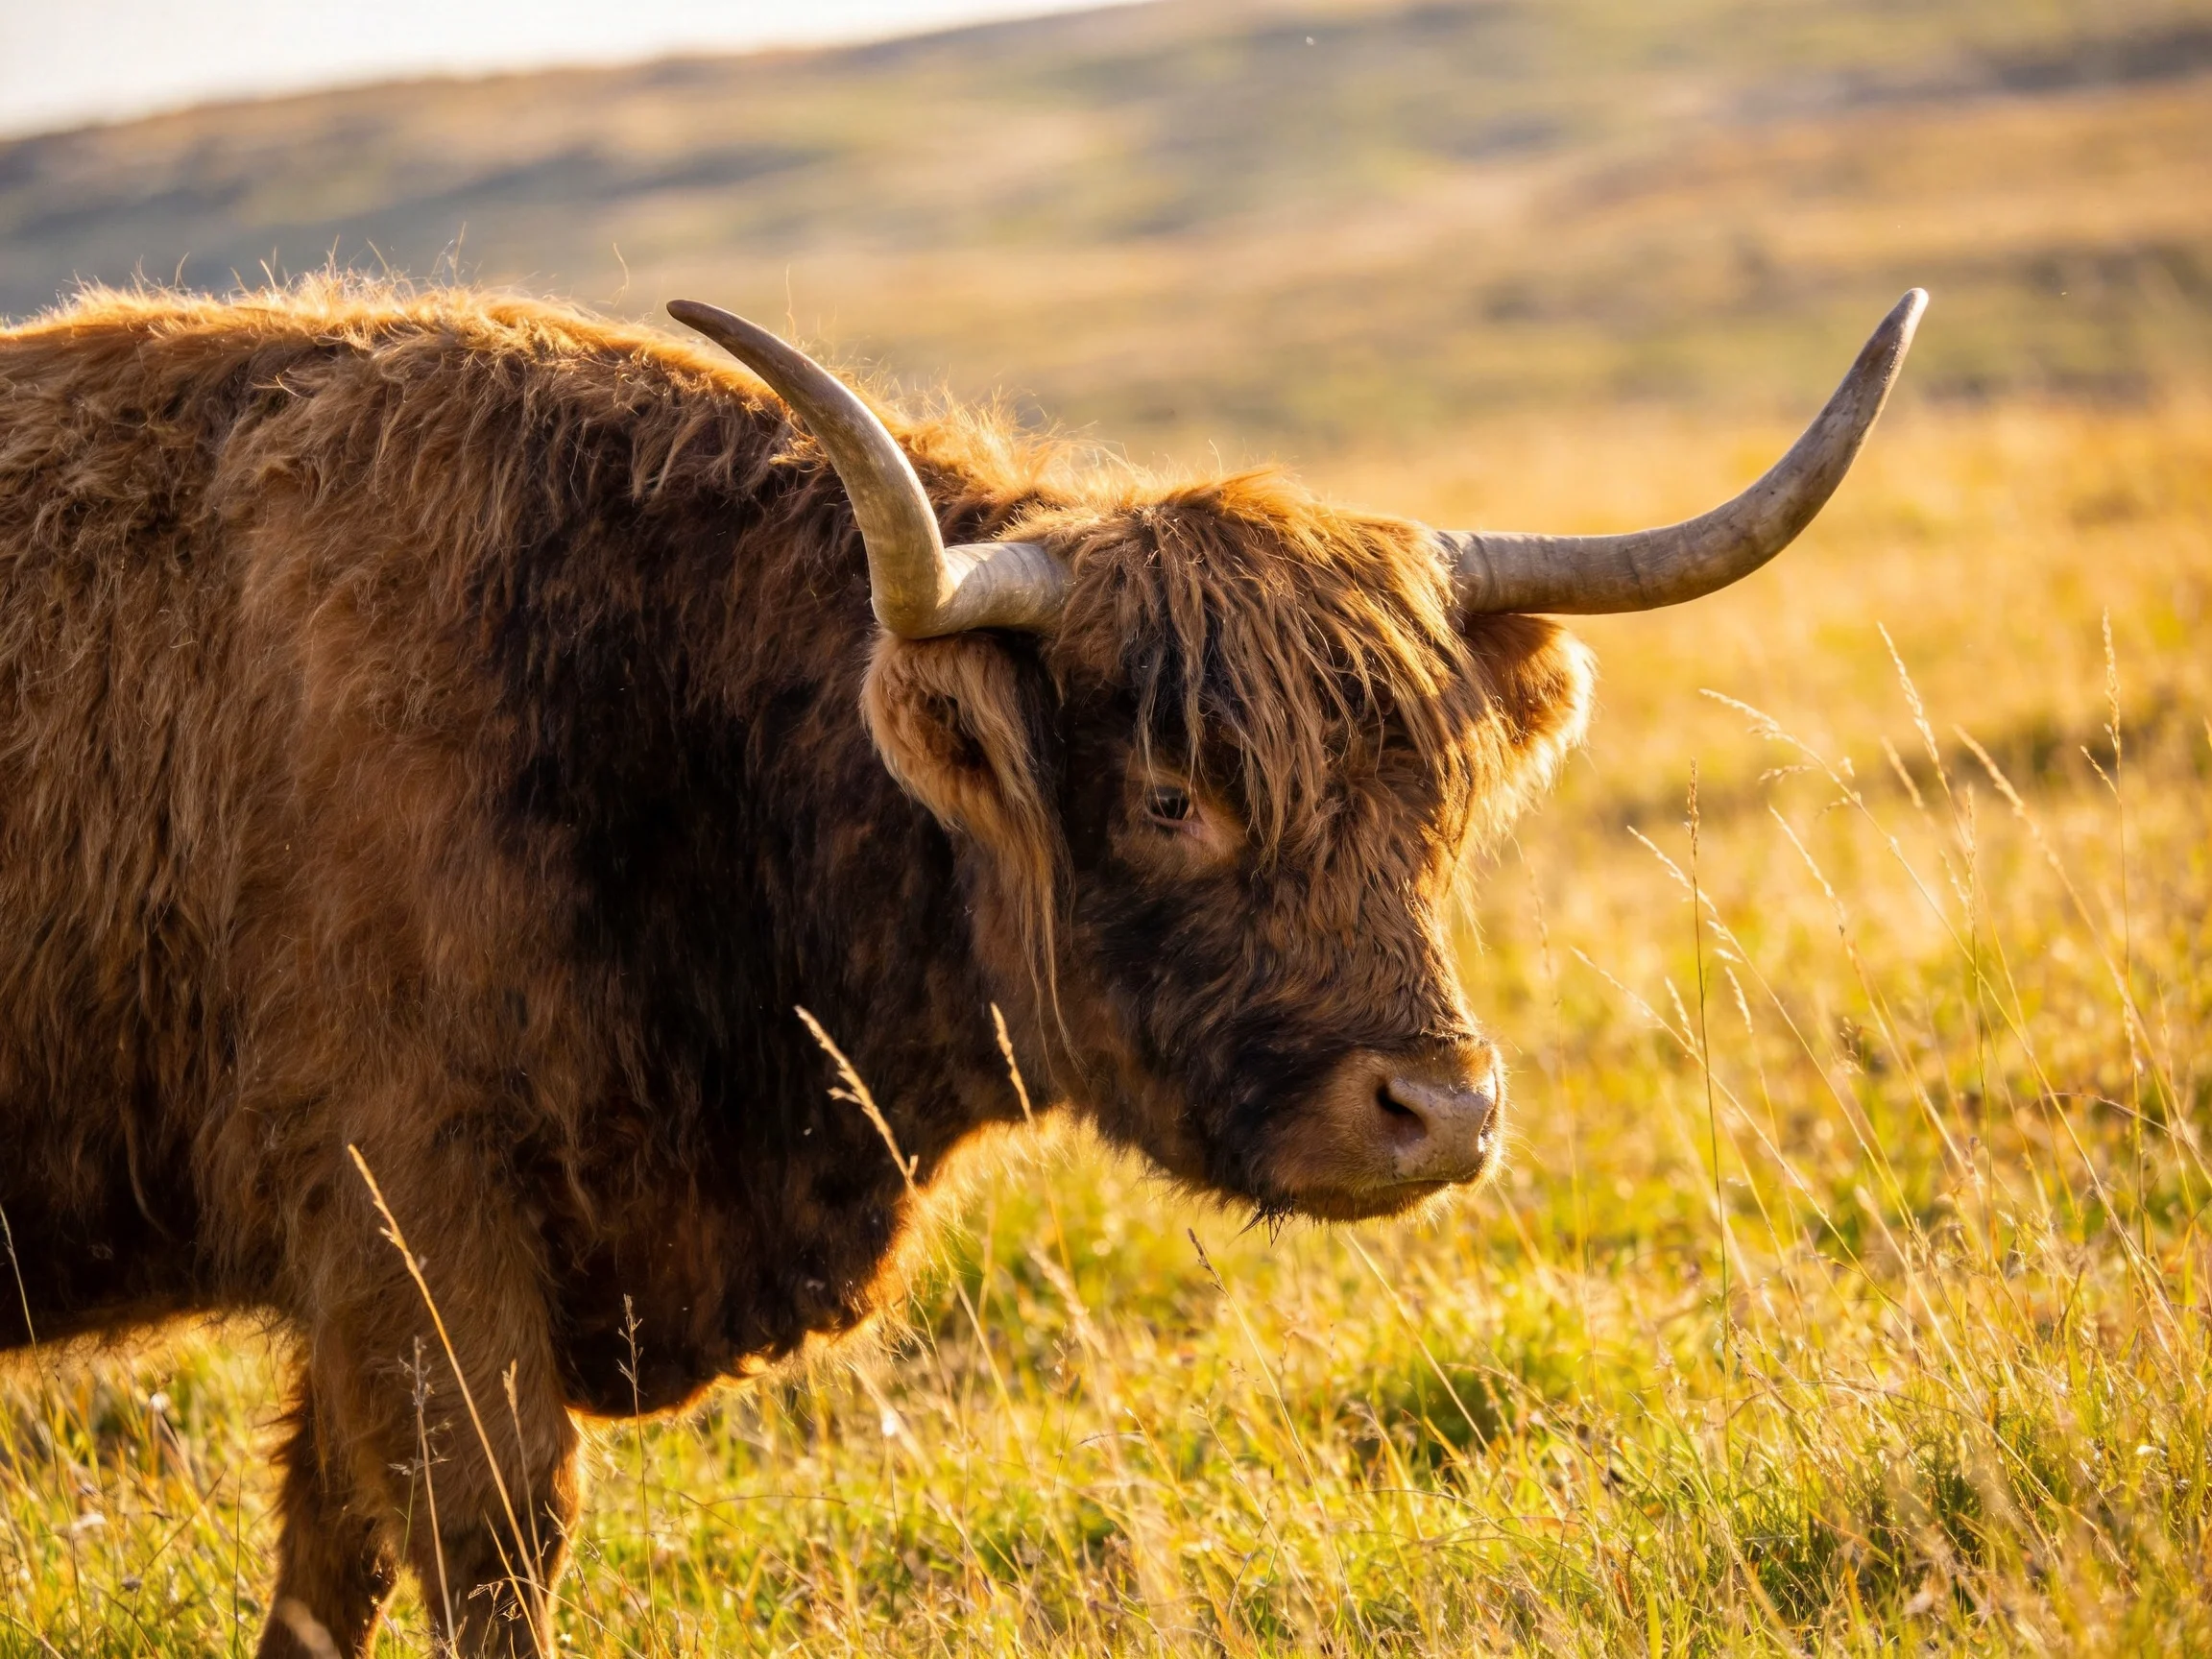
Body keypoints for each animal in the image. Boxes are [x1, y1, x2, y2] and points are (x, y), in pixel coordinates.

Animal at [0, 279, 1923, 1654]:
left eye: (1433, 801)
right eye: (1168, 793)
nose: (1438, 1111)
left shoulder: (364, 1277)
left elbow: (327, 1559)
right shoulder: (412, 1214)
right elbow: (489, 1534)